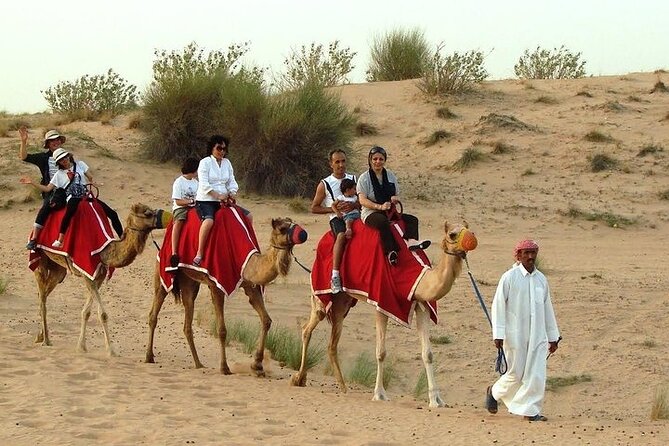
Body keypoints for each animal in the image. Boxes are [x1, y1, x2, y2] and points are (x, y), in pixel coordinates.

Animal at [32, 203, 169, 356]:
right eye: (147, 213)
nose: (168, 217)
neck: (104, 251)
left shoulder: (99, 277)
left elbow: (86, 312)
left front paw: (81, 346)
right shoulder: (87, 274)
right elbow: (102, 314)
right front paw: (111, 351)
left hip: (59, 270)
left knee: (44, 293)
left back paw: (40, 336)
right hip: (40, 260)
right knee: (42, 297)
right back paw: (46, 340)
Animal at [145, 217, 307, 377]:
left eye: (293, 223)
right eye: (283, 228)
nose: (303, 234)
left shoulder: (250, 285)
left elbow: (266, 320)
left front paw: (257, 366)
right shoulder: (216, 286)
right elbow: (222, 330)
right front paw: (224, 368)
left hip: (189, 282)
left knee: (187, 321)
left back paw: (199, 364)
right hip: (162, 272)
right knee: (154, 312)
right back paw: (149, 357)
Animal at [291, 220, 477, 408]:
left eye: (470, 230)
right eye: (452, 234)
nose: (472, 241)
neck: (415, 277)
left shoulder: (422, 304)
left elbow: (428, 354)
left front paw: (436, 400)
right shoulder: (382, 303)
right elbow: (381, 352)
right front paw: (379, 394)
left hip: (342, 302)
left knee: (332, 342)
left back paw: (342, 387)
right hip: (321, 294)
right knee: (308, 327)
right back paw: (298, 378)